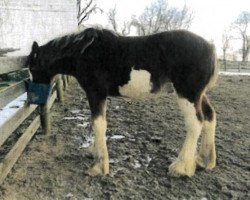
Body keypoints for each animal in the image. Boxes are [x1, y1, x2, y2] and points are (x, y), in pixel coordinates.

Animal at [26, 27, 219, 177]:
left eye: (32, 67)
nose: (33, 98)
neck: (84, 52)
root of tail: (210, 47)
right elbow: (96, 123)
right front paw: (94, 153)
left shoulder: (96, 93)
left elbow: (99, 124)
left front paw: (99, 166)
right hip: (199, 95)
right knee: (209, 117)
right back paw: (205, 161)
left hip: (187, 94)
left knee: (195, 123)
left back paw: (180, 167)